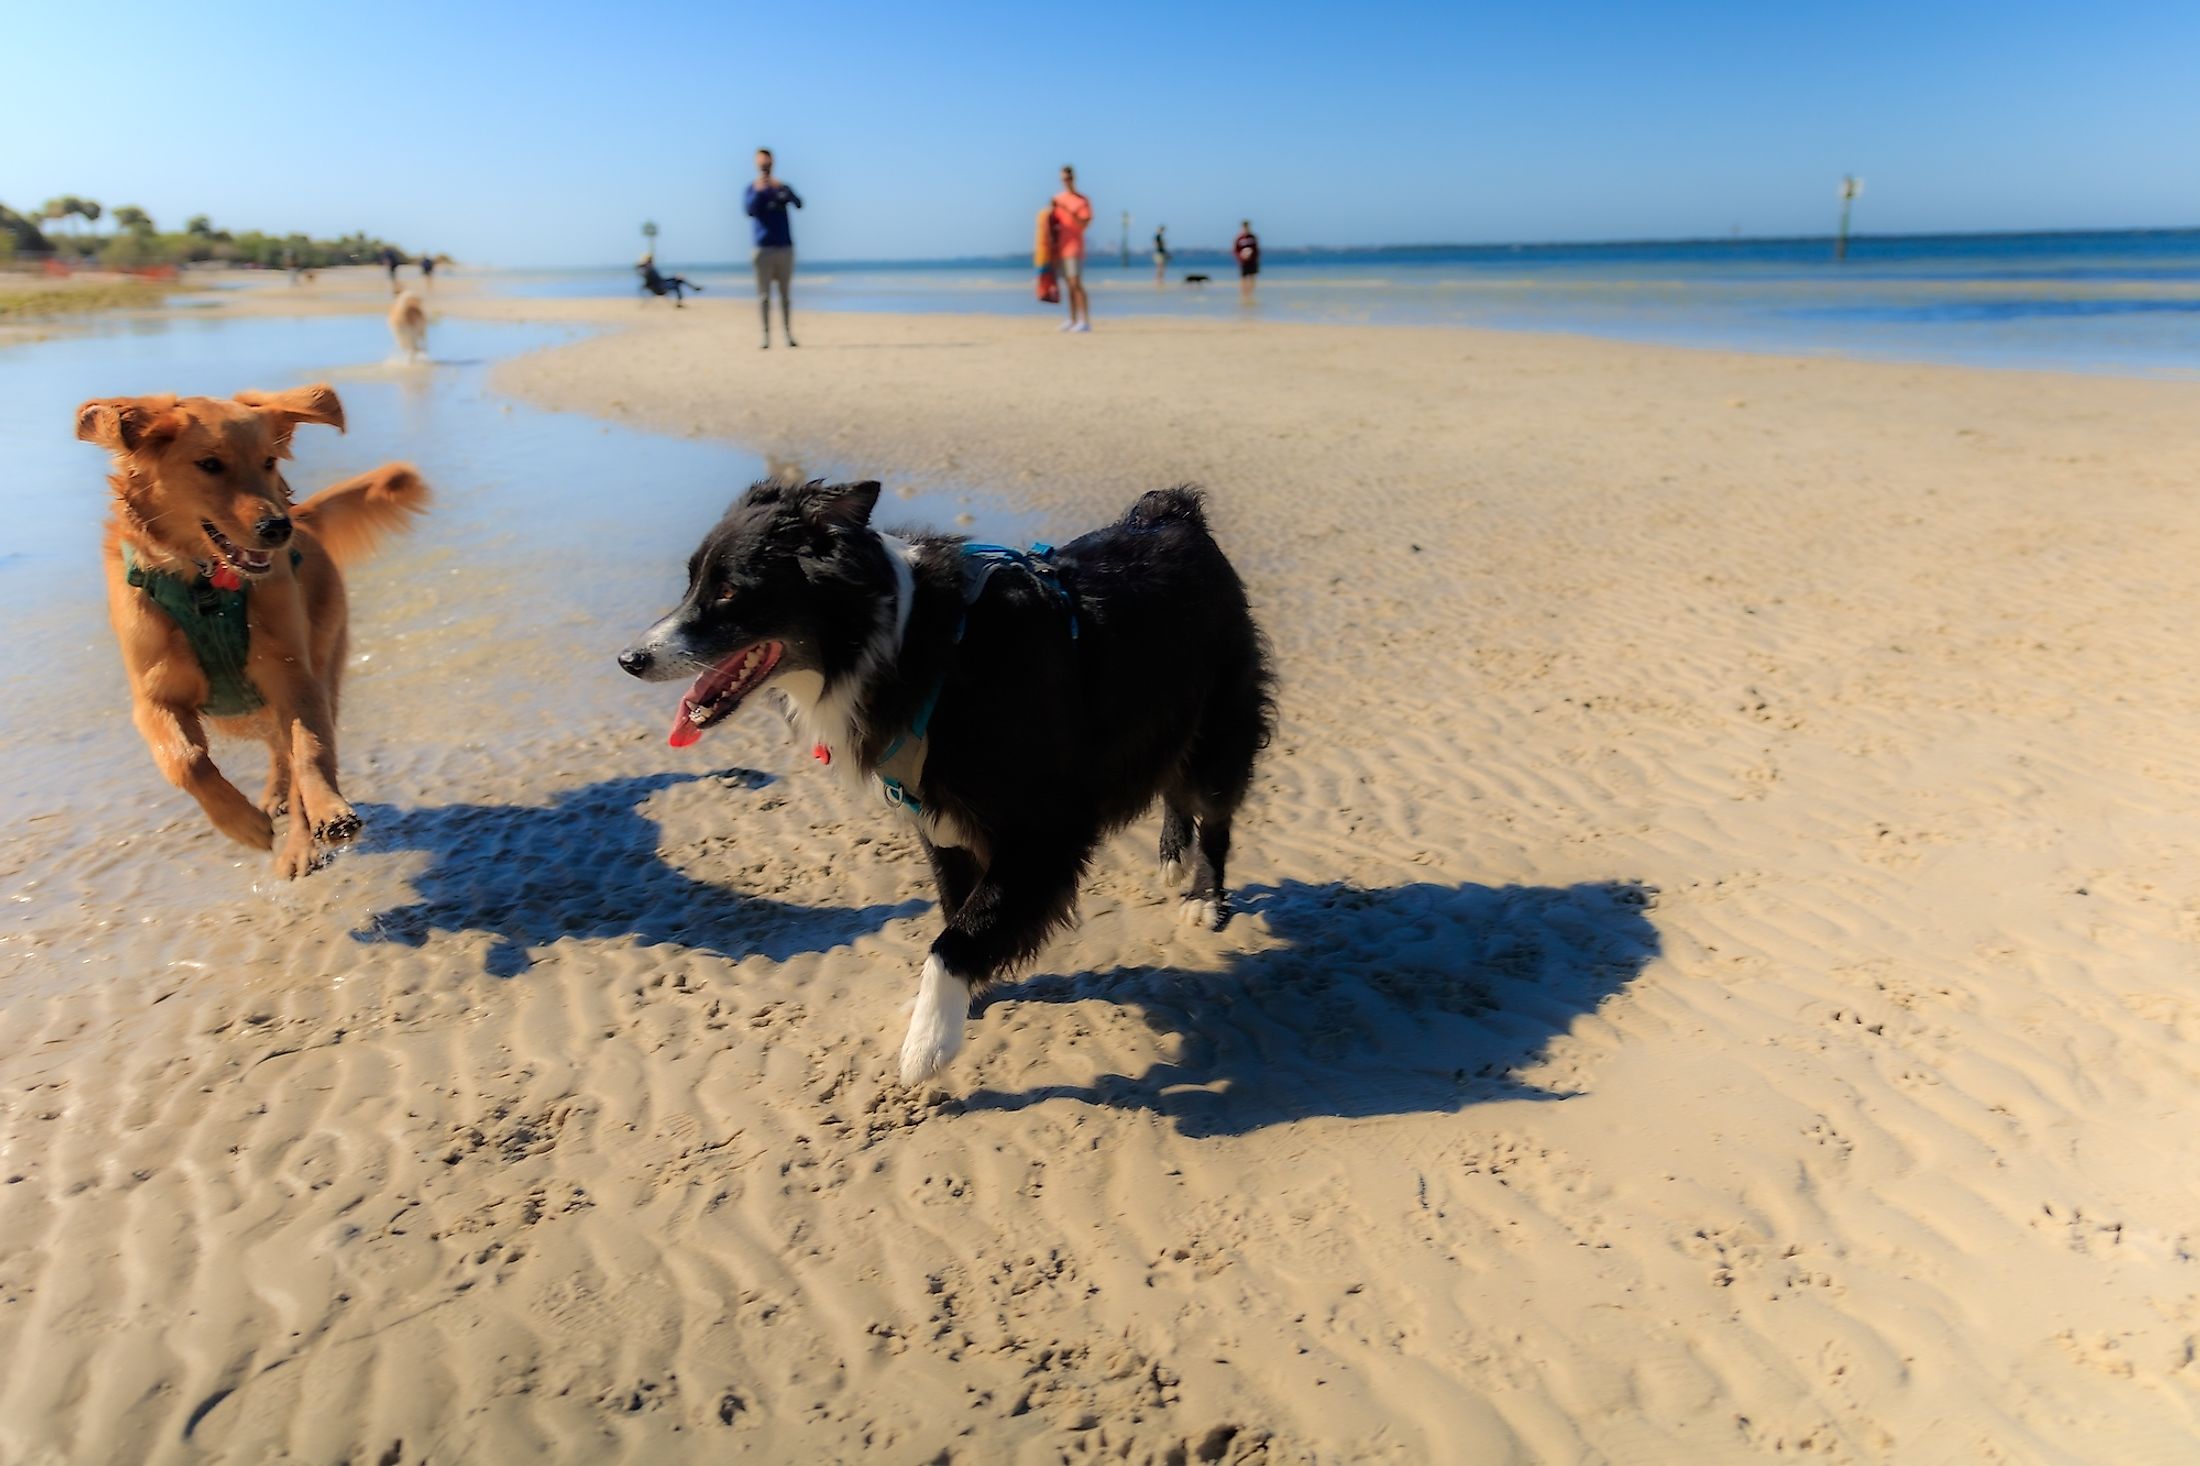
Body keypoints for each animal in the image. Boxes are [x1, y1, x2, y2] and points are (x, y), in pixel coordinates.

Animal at [78, 383, 429, 871]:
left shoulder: (292, 675)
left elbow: (311, 752)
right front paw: (240, 822)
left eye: (268, 461)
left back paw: (300, 844)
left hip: (324, 662)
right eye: (210, 464)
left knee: (294, 753)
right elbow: (187, 760)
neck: (206, 588)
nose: (277, 527)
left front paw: (328, 811)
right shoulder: (154, 697)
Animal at [620, 473, 1276, 1078]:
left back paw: (1203, 896)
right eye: (691, 582)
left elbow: (955, 936)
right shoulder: (939, 822)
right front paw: (961, 1004)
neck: (913, 648)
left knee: (1213, 810)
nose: (629, 660)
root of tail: (1173, 514)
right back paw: (1172, 854)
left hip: (1218, 729)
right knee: (1174, 788)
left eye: (730, 591)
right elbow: (958, 910)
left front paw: (927, 1043)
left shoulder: (1045, 831)